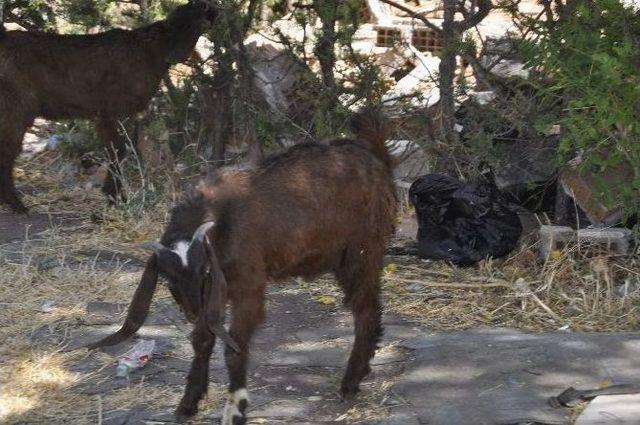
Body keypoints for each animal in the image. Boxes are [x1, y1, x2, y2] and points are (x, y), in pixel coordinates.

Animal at [0, 0, 218, 212]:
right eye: (203, 13)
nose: (217, 11)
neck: (153, 49)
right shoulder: (111, 111)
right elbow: (118, 150)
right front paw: (114, 198)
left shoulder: (116, 114)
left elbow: (122, 149)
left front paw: (117, 197)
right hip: (16, 108)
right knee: (7, 150)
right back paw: (16, 204)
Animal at [87, 110, 398, 424]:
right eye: (168, 278)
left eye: (202, 271)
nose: (190, 312)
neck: (221, 221)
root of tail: (375, 156)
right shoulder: (216, 292)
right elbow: (202, 339)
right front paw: (188, 403)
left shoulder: (246, 287)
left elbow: (234, 348)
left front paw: (235, 408)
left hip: (362, 251)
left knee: (366, 310)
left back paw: (350, 382)